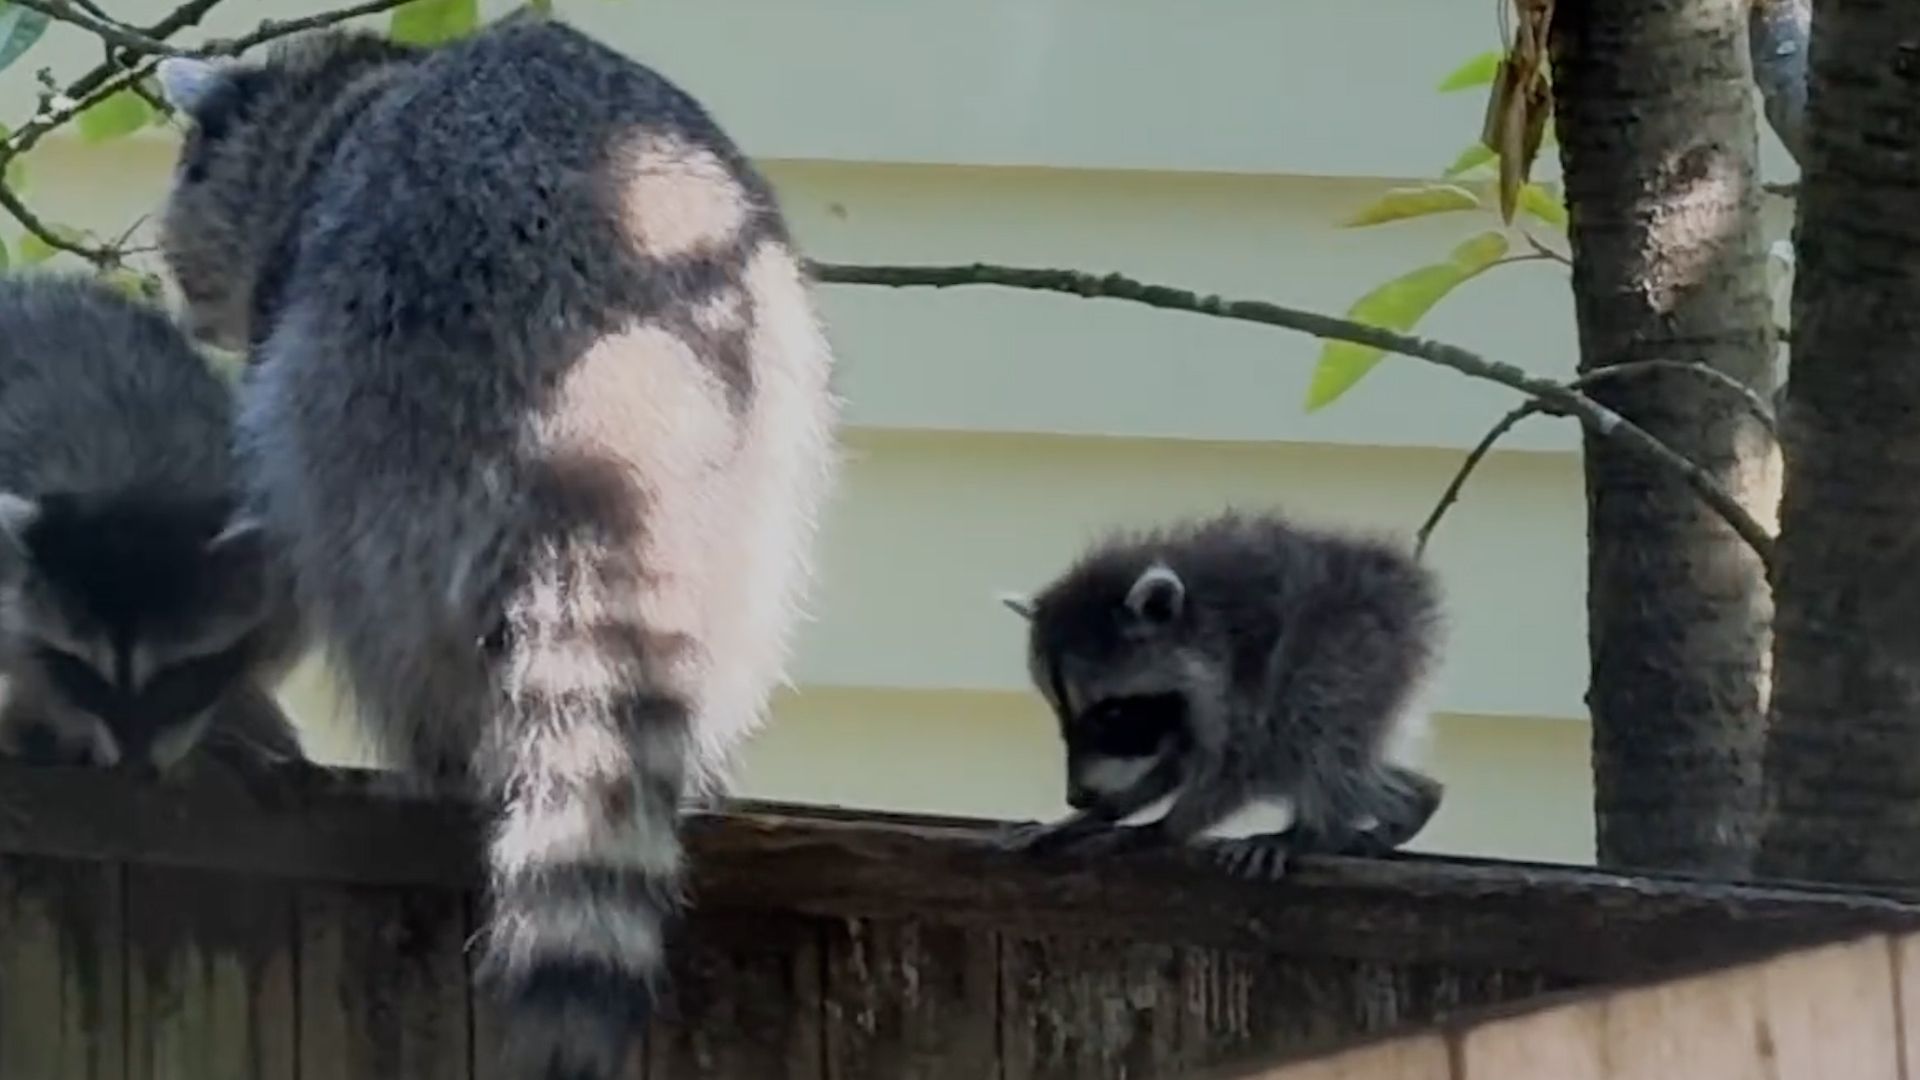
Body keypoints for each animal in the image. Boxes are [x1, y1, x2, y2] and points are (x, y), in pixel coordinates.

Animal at [155, 15, 840, 1078]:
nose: (175, 290)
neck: (336, 100)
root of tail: (609, 399)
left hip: (367, 412)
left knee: (370, 600)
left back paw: (436, 752)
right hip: (767, 435)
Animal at [999, 509, 1445, 880]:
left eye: (1110, 713)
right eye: (1061, 712)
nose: (1078, 797)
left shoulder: (1242, 681)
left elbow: (1238, 764)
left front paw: (1167, 827)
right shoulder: (1172, 718)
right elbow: (1167, 764)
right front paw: (1105, 810)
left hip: (1355, 648)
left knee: (1314, 730)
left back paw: (1318, 828)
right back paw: (1416, 797)